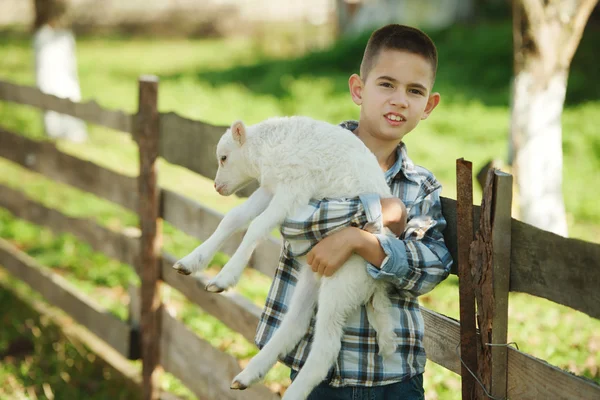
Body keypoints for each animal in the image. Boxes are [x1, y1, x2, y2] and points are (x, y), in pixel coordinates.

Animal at [172, 116, 398, 400]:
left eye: (224, 158)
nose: (217, 187)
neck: (270, 148)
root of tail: (379, 283)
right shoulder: (271, 188)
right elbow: (234, 217)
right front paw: (192, 262)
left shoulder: (294, 188)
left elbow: (256, 226)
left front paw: (225, 277)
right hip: (313, 276)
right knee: (296, 322)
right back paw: (249, 374)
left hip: (343, 282)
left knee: (325, 347)